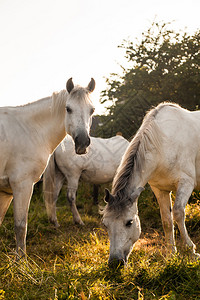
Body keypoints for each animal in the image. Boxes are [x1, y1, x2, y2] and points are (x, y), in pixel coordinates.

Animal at [0, 78, 95, 255]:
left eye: (92, 110)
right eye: (68, 109)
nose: (82, 143)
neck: (29, 131)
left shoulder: (6, 191)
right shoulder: (22, 186)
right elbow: (20, 226)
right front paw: (21, 259)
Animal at [102, 102, 200, 268]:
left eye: (129, 222)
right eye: (105, 224)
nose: (115, 262)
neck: (163, 143)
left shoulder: (186, 183)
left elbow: (178, 213)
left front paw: (191, 252)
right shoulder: (160, 190)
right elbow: (166, 220)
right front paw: (171, 255)